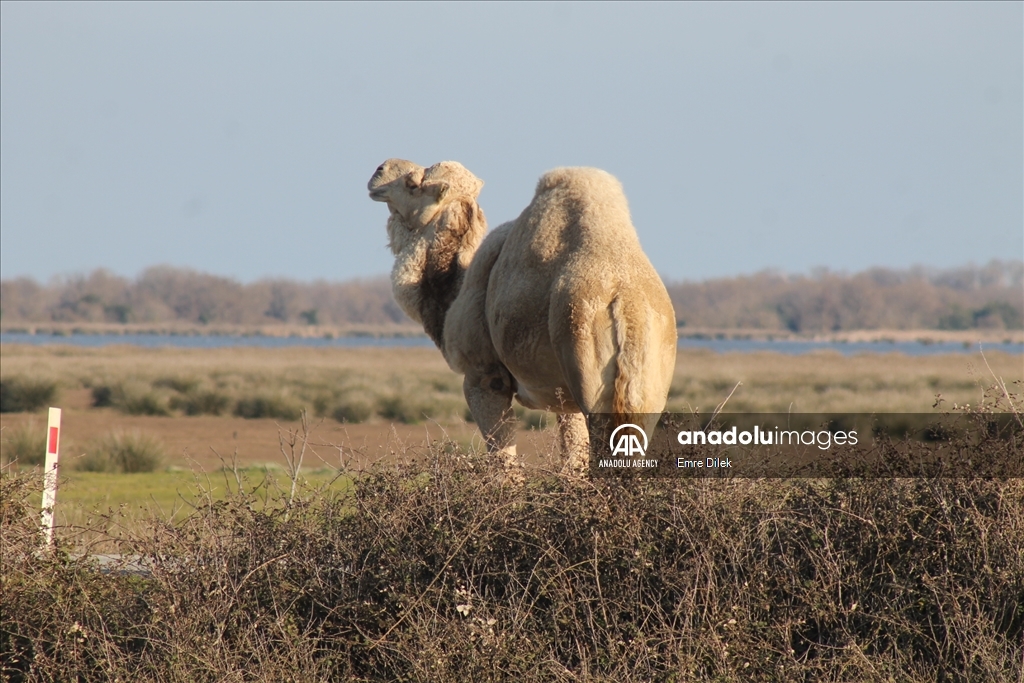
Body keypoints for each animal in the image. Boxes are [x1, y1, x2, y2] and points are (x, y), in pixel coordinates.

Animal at [372, 158, 675, 475]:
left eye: (414, 184)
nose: (379, 170)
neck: (455, 289)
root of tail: (626, 304)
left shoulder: (484, 374)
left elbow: (504, 464)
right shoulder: (565, 399)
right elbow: (572, 463)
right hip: (648, 385)